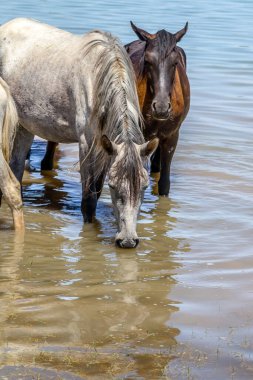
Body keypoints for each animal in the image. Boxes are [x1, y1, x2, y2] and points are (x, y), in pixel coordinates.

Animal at [0, 19, 158, 248]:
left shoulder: (105, 149)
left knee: (17, 168)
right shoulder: (87, 144)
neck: (99, 80)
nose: (128, 241)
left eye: (144, 187)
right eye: (113, 186)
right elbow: (89, 198)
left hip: (24, 127)